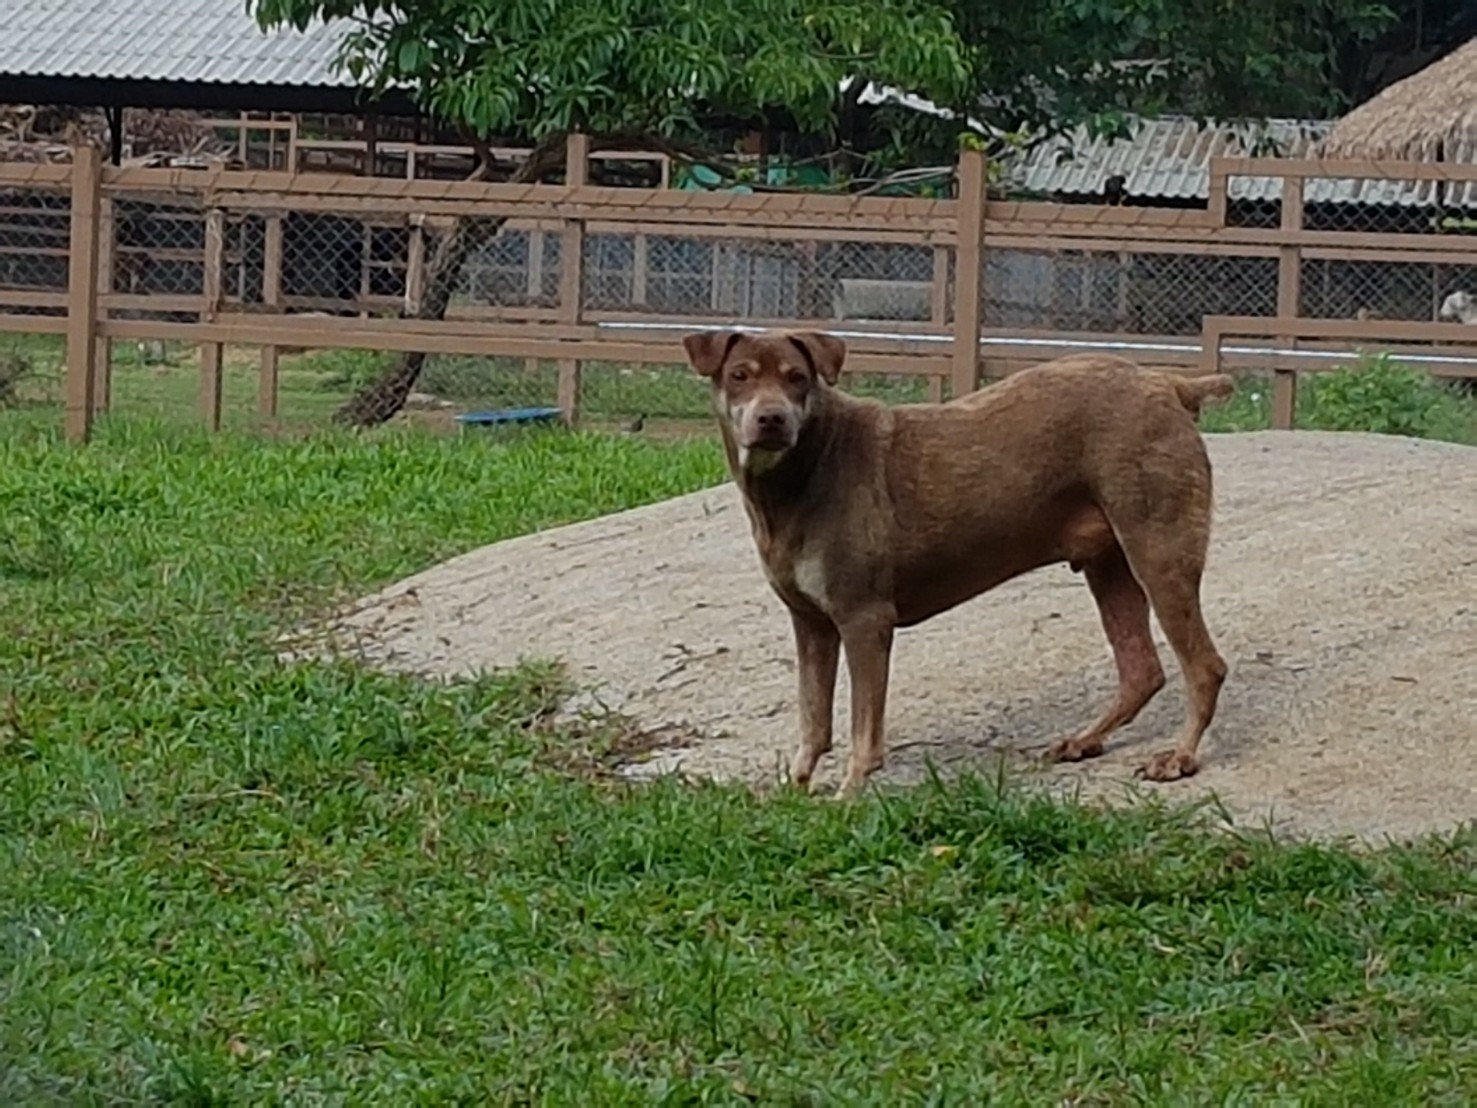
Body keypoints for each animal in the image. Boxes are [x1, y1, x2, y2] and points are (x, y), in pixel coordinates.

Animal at [682, 328, 1235, 797]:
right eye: (740, 375)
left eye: (797, 377)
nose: (771, 418)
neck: (802, 472)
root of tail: (1171, 385)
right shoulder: (810, 623)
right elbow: (813, 716)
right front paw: (795, 788)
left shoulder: (864, 620)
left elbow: (864, 728)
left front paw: (849, 794)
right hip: (1109, 566)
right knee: (1142, 670)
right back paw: (1083, 740)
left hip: (1158, 553)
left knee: (1204, 666)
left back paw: (1179, 756)